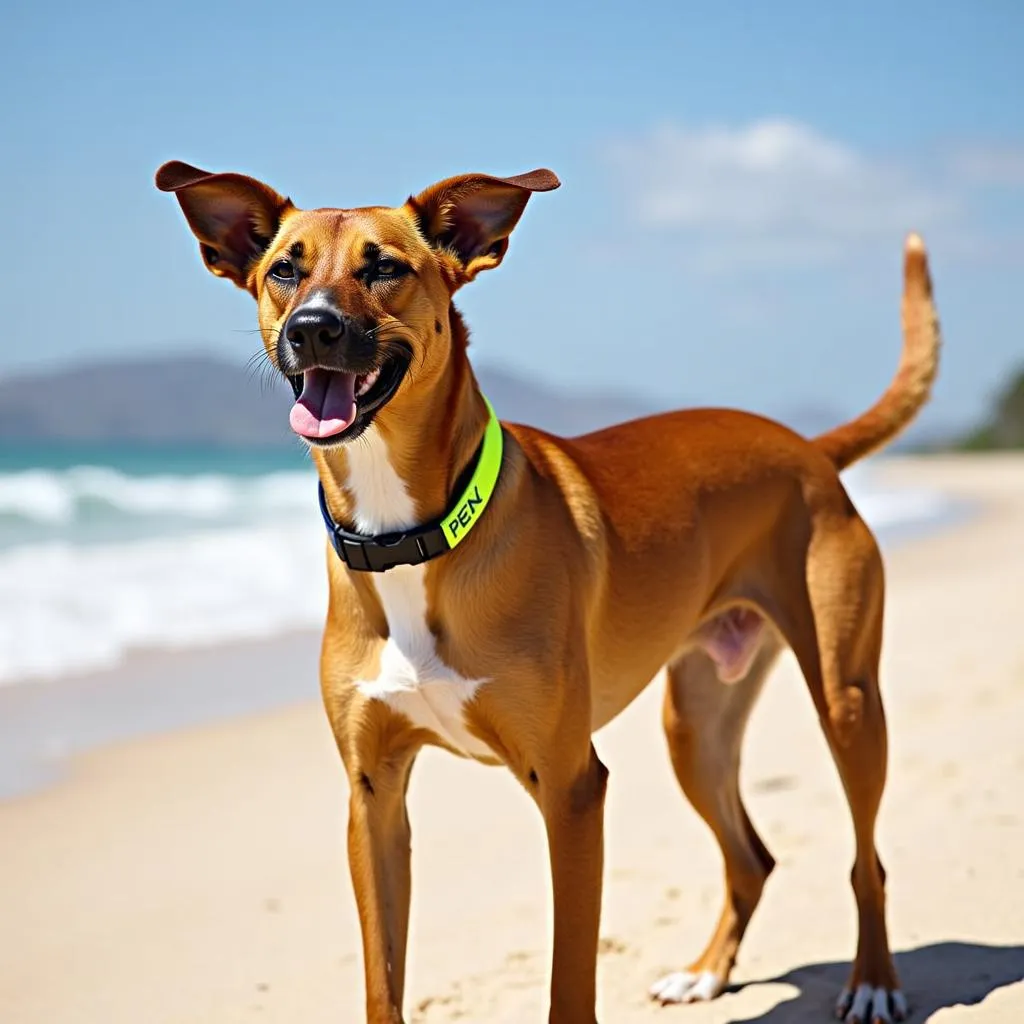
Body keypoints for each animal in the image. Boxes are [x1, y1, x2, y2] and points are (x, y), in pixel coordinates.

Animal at [155, 159, 937, 1024]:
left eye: (383, 267)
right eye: (284, 271)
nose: (313, 329)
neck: (411, 539)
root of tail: (807, 447)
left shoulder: (570, 787)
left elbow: (569, 978)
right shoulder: (373, 797)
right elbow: (382, 980)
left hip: (846, 701)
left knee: (867, 859)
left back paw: (873, 983)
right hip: (695, 726)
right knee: (752, 858)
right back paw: (706, 972)